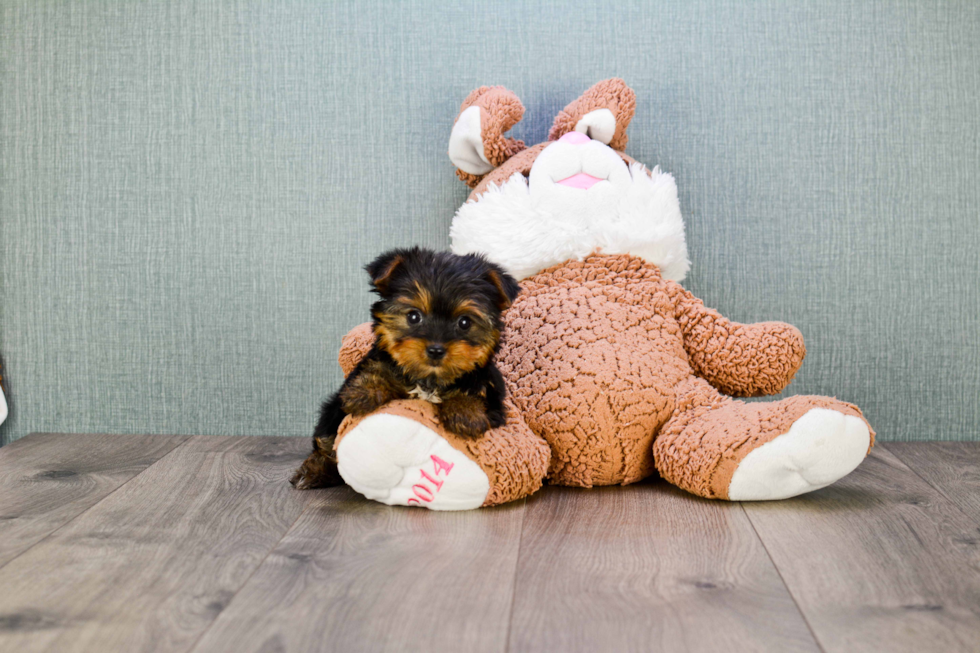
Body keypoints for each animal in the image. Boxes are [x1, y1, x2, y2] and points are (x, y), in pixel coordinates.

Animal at [290, 246, 520, 488]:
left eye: (464, 322)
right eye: (413, 316)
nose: (436, 350)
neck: (429, 380)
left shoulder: (494, 402)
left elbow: (476, 393)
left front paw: (465, 411)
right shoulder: (377, 365)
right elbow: (377, 370)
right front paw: (364, 391)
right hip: (331, 413)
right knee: (326, 439)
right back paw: (313, 471)